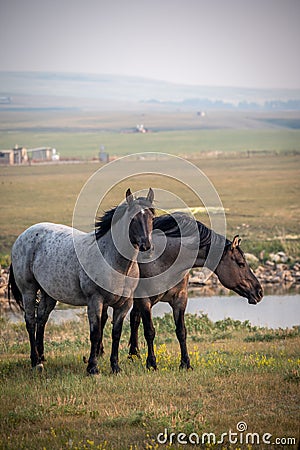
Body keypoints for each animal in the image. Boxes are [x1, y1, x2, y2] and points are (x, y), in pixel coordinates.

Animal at [8, 188, 155, 374]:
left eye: (152, 218)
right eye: (133, 219)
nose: (147, 248)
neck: (115, 264)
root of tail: (22, 236)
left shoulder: (124, 305)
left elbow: (116, 333)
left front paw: (115, 366)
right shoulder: (95, 301)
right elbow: (95, 333)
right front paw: (93, 368)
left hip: (49, 294)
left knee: (41, 319)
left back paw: (42, 357)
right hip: (28, 290)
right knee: (30, 321)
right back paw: (36, 361)